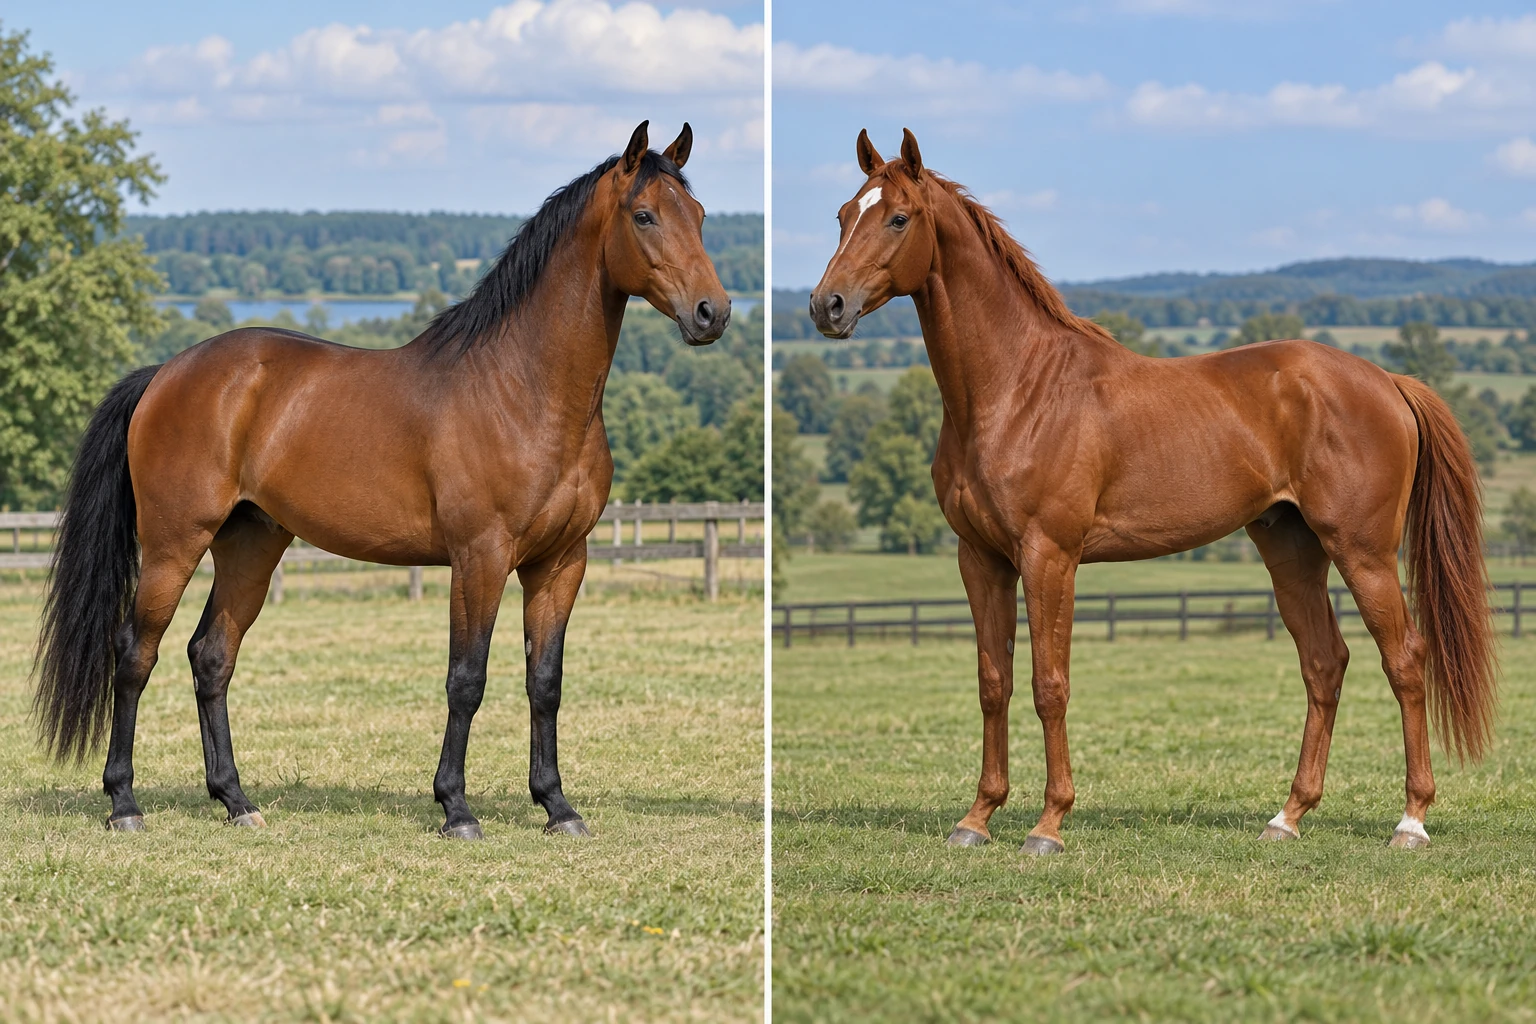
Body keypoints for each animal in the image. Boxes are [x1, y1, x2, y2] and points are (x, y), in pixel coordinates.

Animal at [34, 121, 730, 840]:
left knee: (211, 656)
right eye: (644, 215)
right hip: (175, 543)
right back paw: (124, 803)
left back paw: (236, 800)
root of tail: (166, 373)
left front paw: (557, 806)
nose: (714, 312)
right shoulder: (479, 558)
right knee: (134, 655)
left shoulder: (562, 562)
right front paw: (456, 808)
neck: (524, 390)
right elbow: (466, 679)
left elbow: (546, 682)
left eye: (700, 215)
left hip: (251, 544)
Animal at [808, 128, 1496, 855]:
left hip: (1363, 553)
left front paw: (1049, 825)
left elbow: (1049, 685)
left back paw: (1411, 821)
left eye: (898, 217)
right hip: (1291, 549)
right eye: (843, 214)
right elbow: (994, 682)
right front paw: (977, 818)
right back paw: (1288, 816)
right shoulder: (981, 559)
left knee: (1405, 662)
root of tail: (1388, 380)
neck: (1017, 390)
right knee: (1324, 663)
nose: (827, 306)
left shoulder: (1049, 557)